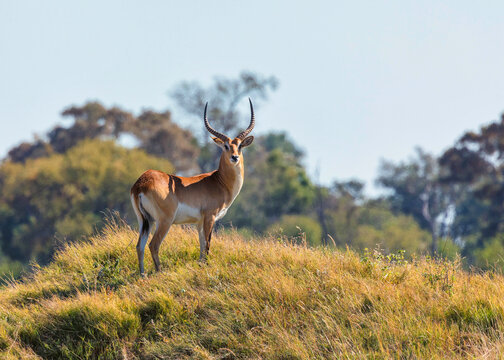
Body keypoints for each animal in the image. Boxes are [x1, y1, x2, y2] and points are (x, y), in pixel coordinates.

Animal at [131, 97, 256, 272]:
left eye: (239, 146)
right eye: (226, 146)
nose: (235, 157)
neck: (219, 182)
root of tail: (141, 183)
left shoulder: (199, 222)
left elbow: (202, 247)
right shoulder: (210, 217)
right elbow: (208, 245)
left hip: (145, 221)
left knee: (139, 246)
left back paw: (142, 274)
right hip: (164, 221)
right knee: (153, 245)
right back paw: (159, 272)